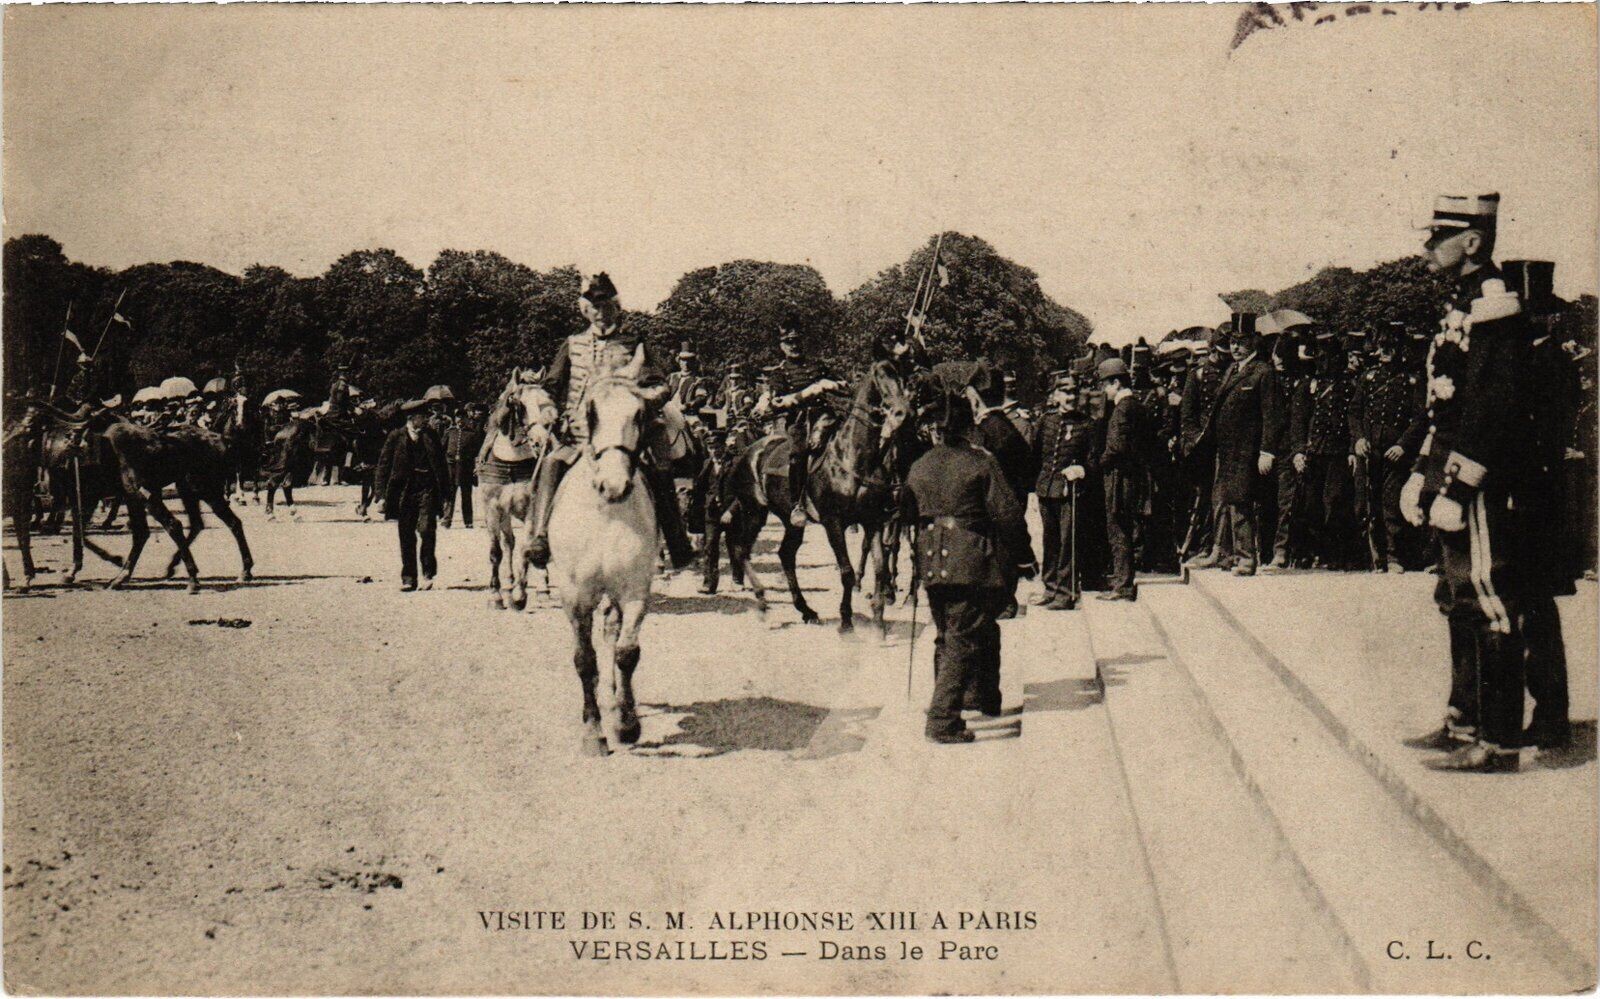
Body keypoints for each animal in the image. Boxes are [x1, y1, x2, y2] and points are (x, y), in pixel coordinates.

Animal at [479, 369, 556, 610]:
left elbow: (526, 548)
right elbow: (496, 551)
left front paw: (520, 595)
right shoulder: (493, 508)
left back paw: (542, 588)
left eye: (547, 401)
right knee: (509, 543)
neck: (511, 461)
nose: (543, 442)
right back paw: (509, 582)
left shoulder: (531, 507)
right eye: (520, 405)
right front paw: (496, 595)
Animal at [543, 345, 667, 755]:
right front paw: (593, 732)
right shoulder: (575, 594)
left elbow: (626, 653)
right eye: (590, 413)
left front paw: (626, 725)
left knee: (612, 635)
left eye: (640, 414)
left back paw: (615, 701)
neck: (606, 513)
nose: (613, 485)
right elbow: (585, 660)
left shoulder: (635, 590)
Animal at [719, 360, 913, 637]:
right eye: (880, 379)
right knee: (741, 549)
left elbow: (879, 568)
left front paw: (878, 624)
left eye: (901, 378)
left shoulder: (873, 521)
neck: (853, 459)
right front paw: (846, 622)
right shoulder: (834, 523)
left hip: (789, 520)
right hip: (754, 511)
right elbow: (847, 571)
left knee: (785, 554)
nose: (901, 414)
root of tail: (746, 453)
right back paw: (763, 605)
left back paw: (806, 610)